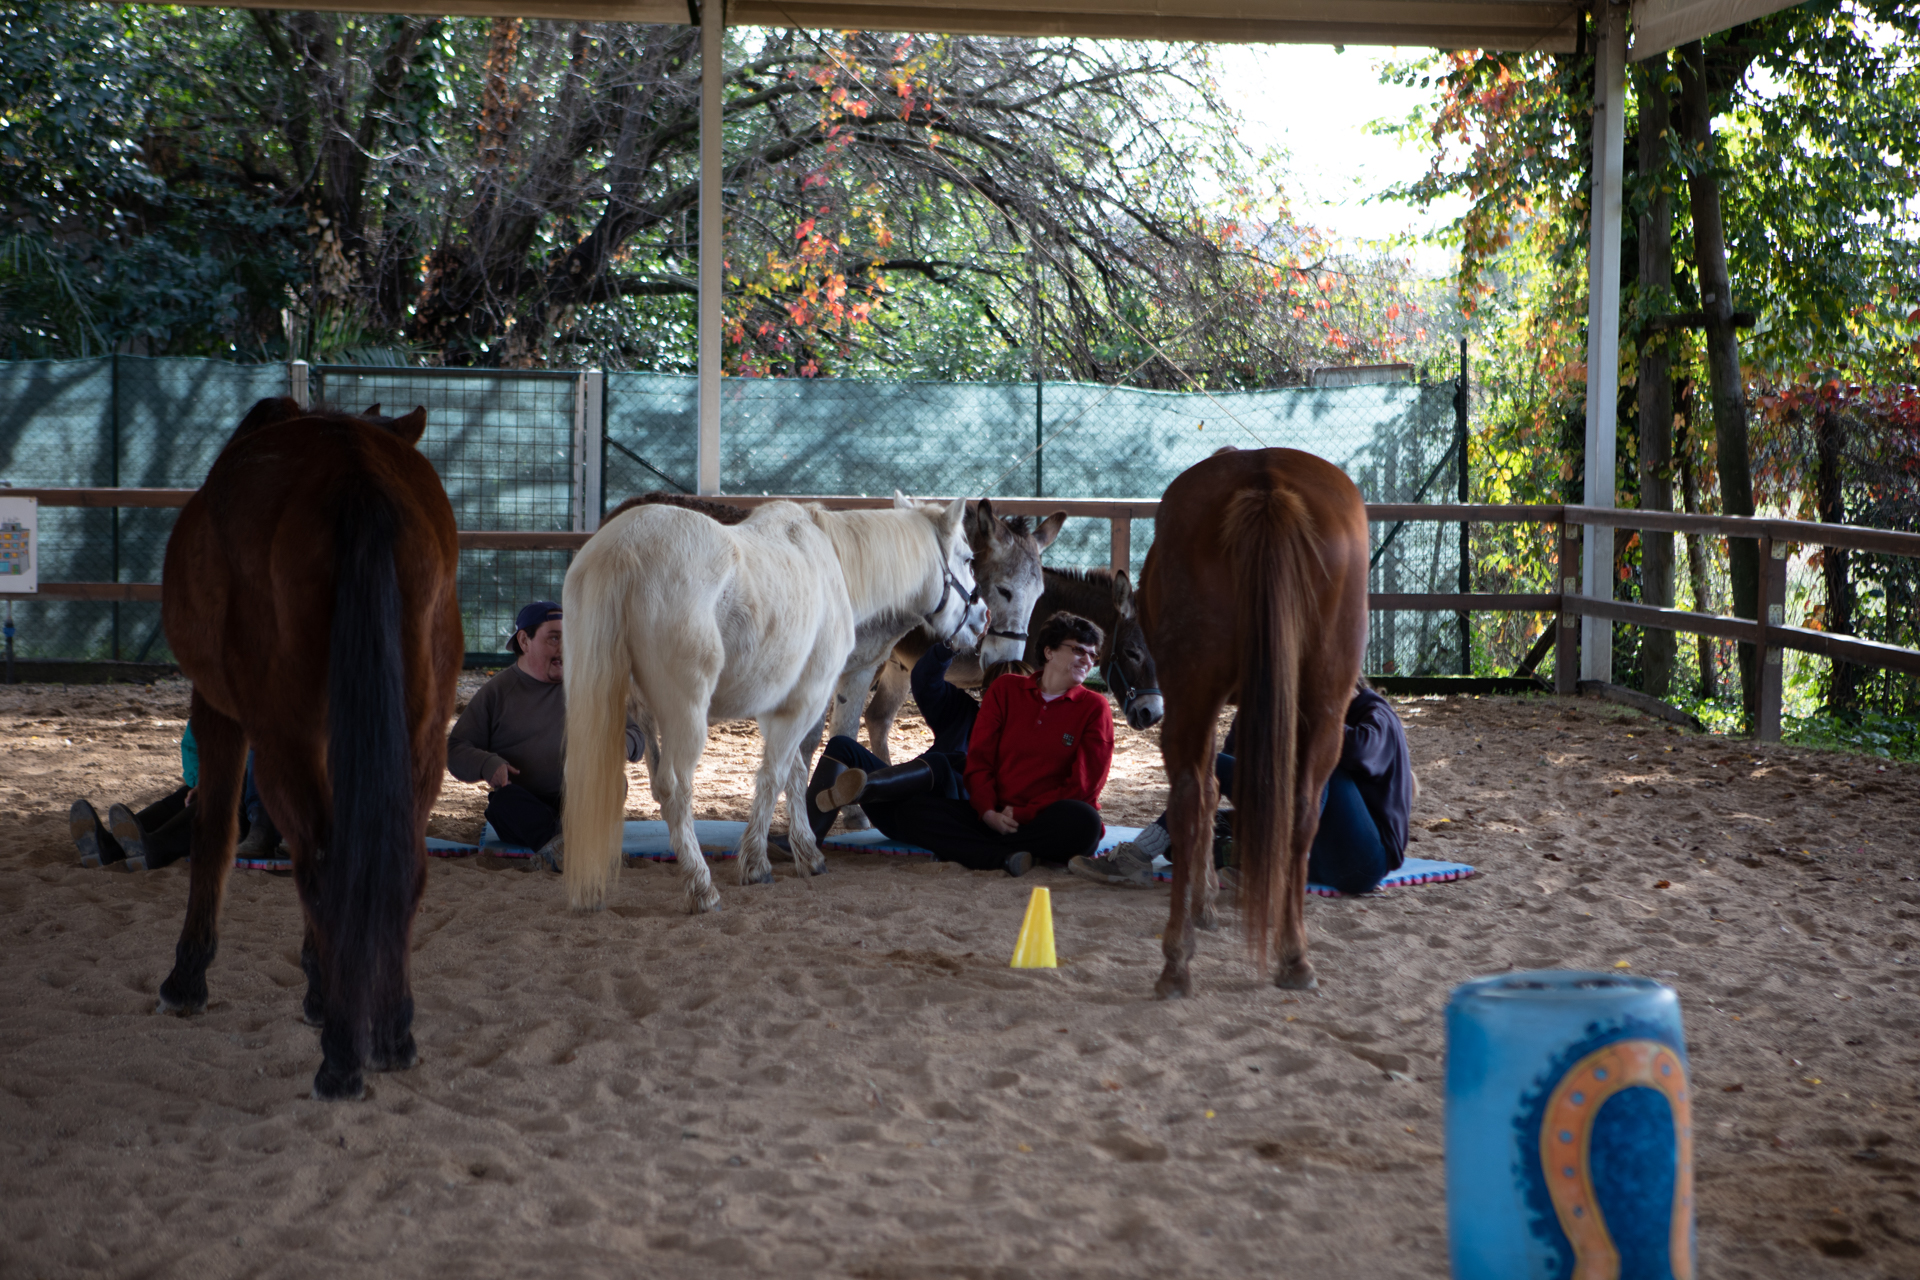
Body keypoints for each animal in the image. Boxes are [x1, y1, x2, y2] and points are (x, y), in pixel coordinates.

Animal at [158, 395, 463, 1100]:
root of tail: (354, 475)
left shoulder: (219, 711)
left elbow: (212, 835)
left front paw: (187, 979)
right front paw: (322, 988)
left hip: (277, 733)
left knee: (320, 862)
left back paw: (343, 1059)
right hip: (419, 734)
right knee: (394, 861)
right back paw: (392, 1034)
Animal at [561, 494, 980, 914]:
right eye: (967, 557)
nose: (982, 619)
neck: (834, 563)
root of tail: (622, 551)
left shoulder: (776, 704)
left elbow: (793, 769)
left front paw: (806, 853)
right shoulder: (809, 696)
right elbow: (776, 773)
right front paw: (756, 863)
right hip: (685, 711)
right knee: (675, 788)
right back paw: (701, 887)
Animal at [1137, 448, 1368, 999]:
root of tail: (1266, 481)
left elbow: (1209, 789)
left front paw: (1204, 903)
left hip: (1191, 692)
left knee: (1190, 796)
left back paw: (1177, 960)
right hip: (1325, 704)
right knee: (1300, 809)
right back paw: (1294, 957)